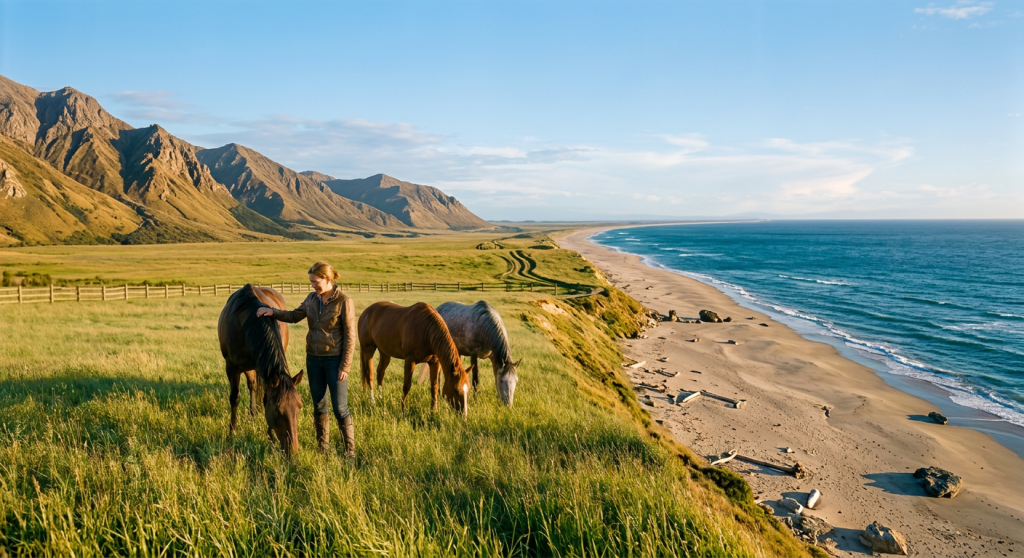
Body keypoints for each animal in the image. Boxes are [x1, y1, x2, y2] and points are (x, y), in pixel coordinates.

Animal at [218, 284, 304, 455]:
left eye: (299, 407)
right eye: (277, 410)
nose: (292, 450)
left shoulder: (263, 368)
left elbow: (264, 397)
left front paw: (270, 436)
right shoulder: (232, 368)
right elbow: (235, 398)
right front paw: (232, 433)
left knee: (254, 386)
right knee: (252, 386)